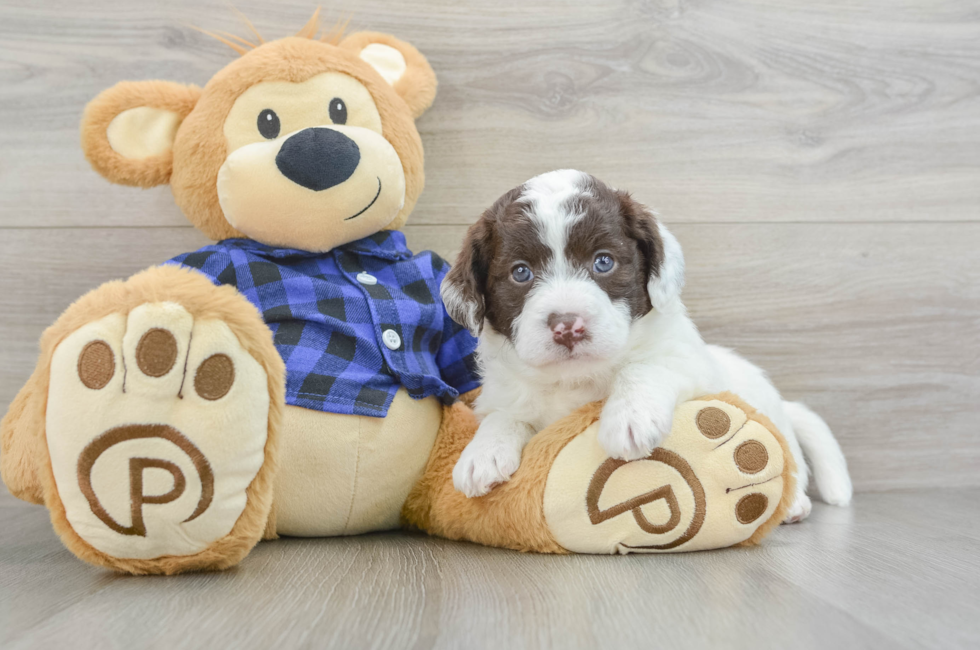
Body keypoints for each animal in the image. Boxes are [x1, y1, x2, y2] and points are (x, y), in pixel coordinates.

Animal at [440, 168, 852, 520]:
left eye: (603, 262)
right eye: (520, 273)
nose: (567, 326)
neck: (576, 379)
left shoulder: (689, 364)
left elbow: (644, 366)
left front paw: (628, 418)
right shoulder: (504, 395)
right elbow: (504, 415)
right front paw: (482, 453)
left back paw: (795, 504)